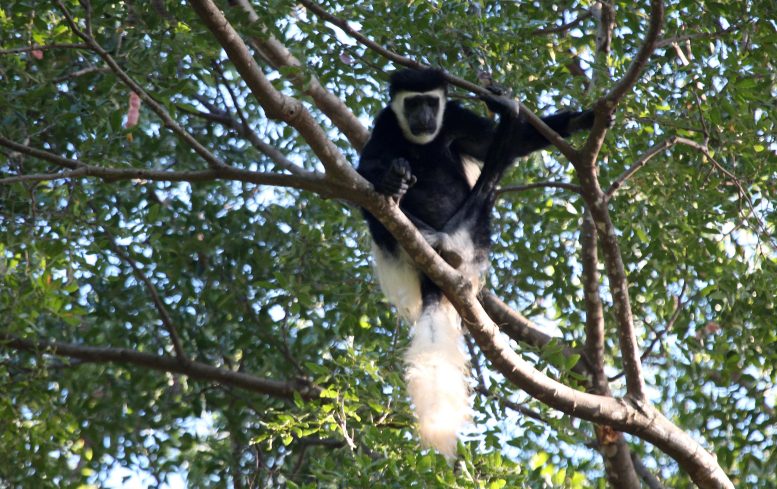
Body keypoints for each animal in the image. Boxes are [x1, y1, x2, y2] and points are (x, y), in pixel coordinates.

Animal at [358, 67, 596, 458]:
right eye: (412, 103)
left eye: (430, 102)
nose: (423, 118)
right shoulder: (386, 124)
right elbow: (366, 168)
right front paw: (391, 178)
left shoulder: (455, 118)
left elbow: (508, 145)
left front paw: (582, 118)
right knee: (372, 206)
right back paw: (414, 219)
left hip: (475, 232)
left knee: (494, 172)